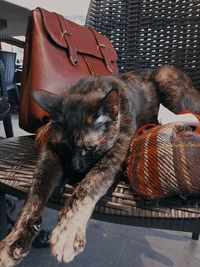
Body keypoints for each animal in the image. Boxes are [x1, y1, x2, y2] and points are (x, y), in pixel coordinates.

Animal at [0, 65, 200, 267]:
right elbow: (36, 192)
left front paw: (68, 232)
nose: (75, 169)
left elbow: (88, 185)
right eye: (65, 148)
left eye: (89, 148)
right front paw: (14, 241)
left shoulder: (116, 150)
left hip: (168, 80)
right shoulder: (51, 151)